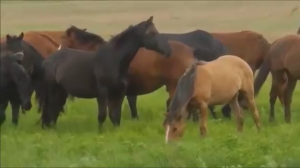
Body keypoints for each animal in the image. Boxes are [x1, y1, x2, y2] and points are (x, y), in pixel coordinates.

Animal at [35, 16, 171, 128]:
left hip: (61, 92)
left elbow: (115, 115)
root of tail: (47, 60)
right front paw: (100, 132)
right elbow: (103, 115)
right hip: (53, 91)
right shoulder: (102, 92)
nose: (168, 50)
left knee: (53, 111)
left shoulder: (119, 93)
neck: (113, 59)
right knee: (51, 109)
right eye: (152, 33)